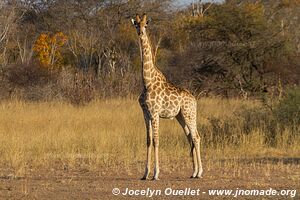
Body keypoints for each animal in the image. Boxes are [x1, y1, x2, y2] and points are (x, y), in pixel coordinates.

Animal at [131, 13, 203, 180]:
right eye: (136, 24)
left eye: (146, 24)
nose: (140, 33)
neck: (147, 82)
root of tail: (194, 99)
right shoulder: (145, 113)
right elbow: (148, 140)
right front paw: (145, 174)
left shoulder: (155, 112)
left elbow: (156, 140)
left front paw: (156, 174)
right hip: (180, 116)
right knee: (190, 138)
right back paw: (193, 172)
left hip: (189, 114)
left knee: (196, 137)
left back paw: (200, 172)